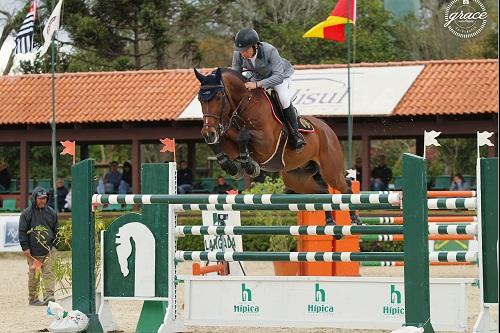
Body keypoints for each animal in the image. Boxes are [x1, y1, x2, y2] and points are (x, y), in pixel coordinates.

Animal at [194, 66, 360, 224]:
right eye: (200, 99)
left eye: (218, 97)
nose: (208, 132)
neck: (245, 105)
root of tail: (327, 129)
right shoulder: (228, 139)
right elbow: (221, 142)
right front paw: (231, 166)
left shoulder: (266, 145)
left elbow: (243, 136)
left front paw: (250, 166)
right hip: (296, 178)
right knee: (323, 191)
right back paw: (330, 221)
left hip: (331, 170)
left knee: (345, 185)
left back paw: (355, 219)